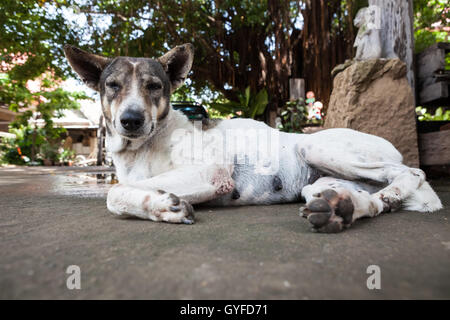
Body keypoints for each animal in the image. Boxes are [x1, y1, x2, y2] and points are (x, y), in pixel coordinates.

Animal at [64, 43, 442, 232]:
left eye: (154, 86)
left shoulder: (210, 173)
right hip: (320, 184)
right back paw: (342, 208)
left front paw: (160, 204)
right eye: (113, 86)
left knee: (411, 172)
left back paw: (390, 192)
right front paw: (157, 205)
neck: (143, 147)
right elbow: (121, 190)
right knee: (363, 200)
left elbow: (113, 194)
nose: (130, 120)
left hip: (315, 145)